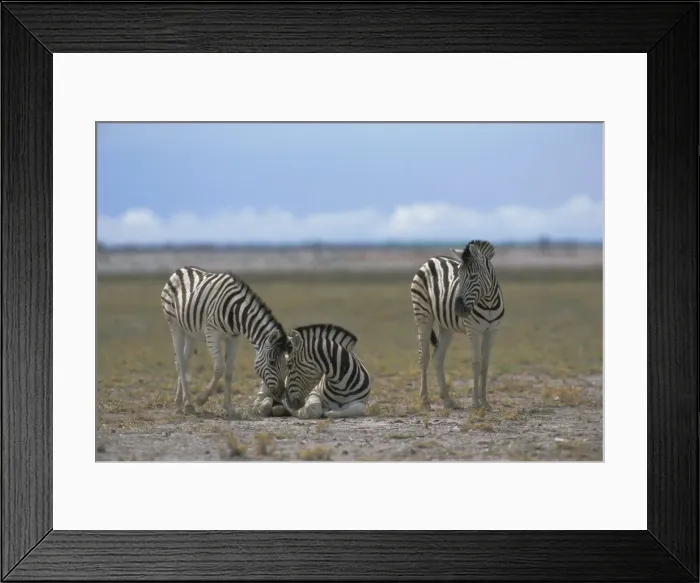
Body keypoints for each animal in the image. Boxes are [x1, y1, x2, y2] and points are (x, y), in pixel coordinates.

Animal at [160, 266, 289, 419]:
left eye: (286, 364)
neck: (236, 312)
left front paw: (229, 409)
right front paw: (201, 399)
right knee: (180, 361)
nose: (281, 394)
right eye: (272, 362)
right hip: (174, 324)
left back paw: (181, 404)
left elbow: (228, 372)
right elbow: (219, 368)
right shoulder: (212, 333)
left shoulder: (233, 338)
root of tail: (181, 269)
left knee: (183, 363)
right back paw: (189, 405)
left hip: (190, 333)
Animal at [410, 240, 504, 411]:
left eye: (473, 276)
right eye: (458, 276)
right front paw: (475, 403)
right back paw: (425, 401)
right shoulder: (473, 331)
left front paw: (485, 402)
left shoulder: (492, 331)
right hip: (423, 315)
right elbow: (476, 363)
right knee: (424, 356)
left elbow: (485, 364)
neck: (488, 302)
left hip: (446, 327)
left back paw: (447, 400)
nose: (458, 309)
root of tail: (431, 260)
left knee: (437, 356)